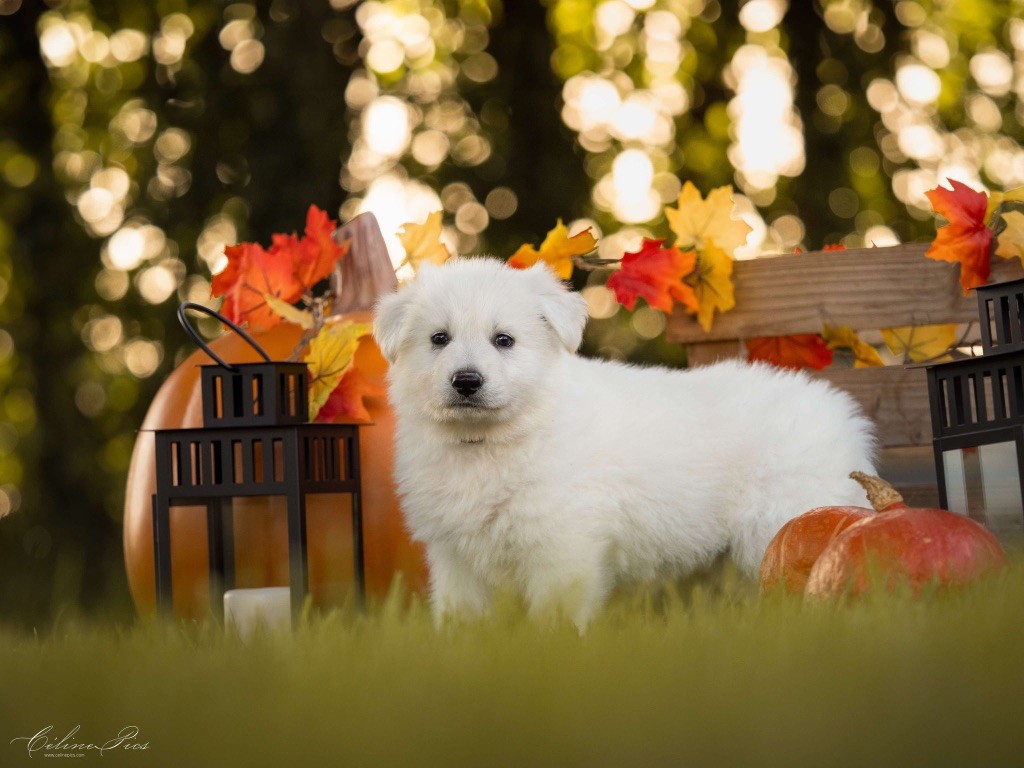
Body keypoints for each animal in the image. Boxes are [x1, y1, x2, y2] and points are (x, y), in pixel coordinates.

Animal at [372, 259, 876, 630]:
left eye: (504, 340)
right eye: (439, 339)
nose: (467, 381)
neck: (490, 440)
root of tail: (841, 415)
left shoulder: (562, 544)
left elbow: (555, 614)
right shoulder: (455, 555)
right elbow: (462, 616)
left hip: (780, 518)